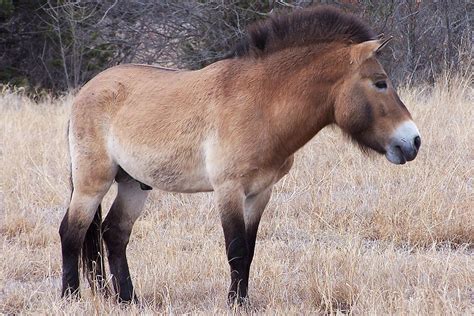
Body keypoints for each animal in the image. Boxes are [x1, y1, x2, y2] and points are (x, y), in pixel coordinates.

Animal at [60, 6, 422, 304]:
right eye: (380, 83)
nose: (413, 141)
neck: (262, 104)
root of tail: (85, 92)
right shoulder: (228, 189)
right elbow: (235, 249)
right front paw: (234, 303)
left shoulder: (260, 193)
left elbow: (248, 251)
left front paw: (243, 300)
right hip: (92, 183)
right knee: (72, 232)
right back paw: (70, 296)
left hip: (133, 184)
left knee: (114, 234)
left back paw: (128, 299)